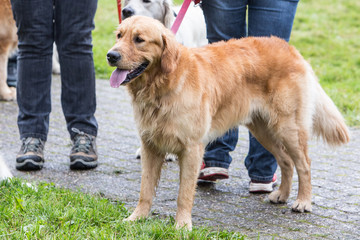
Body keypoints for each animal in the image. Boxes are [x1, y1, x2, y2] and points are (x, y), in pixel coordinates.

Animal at [106, 15, 348, 230]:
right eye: (119, 35)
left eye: (139, 39)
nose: (111, 55)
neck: (162, 85)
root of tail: (289, 48)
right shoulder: (150, 146)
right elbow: (145, 191)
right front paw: (136, 218)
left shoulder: (192, 149)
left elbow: (184, 194)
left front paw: (182, 225)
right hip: (263, 130)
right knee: (286, 161)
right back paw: (281, 195)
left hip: (288, 128)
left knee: (304, 164)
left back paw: (303, 201)